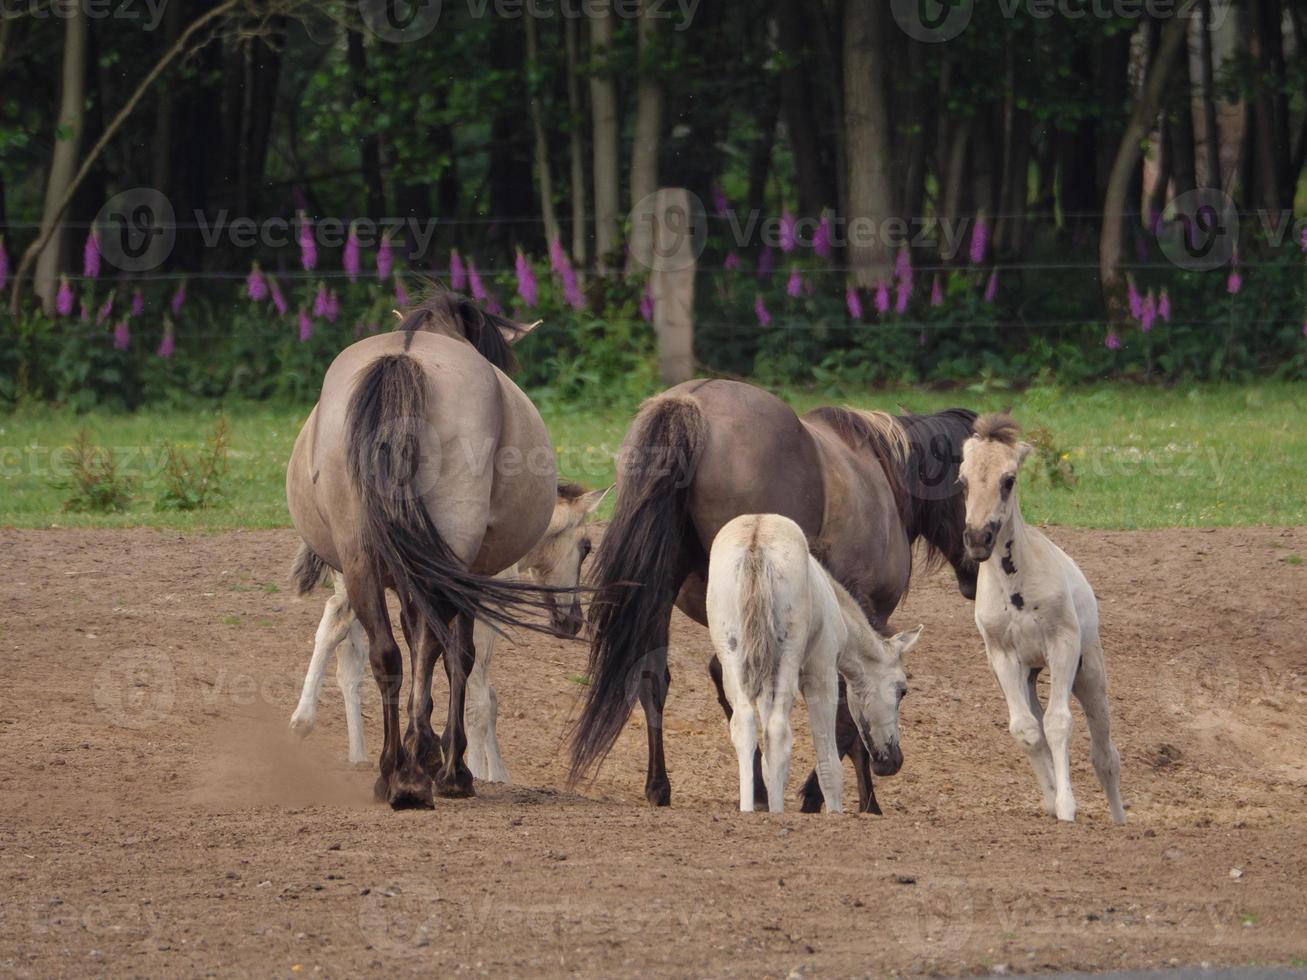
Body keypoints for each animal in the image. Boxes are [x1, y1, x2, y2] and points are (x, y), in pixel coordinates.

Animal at [288, 291, 564, 815]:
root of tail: (403, 359)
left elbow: (413, 643)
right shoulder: (468, 574)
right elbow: (459, 656)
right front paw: (452, 764)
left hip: (360, 562)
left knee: (387, 656)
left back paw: (395, 772)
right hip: (447, 560)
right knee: (436, 648)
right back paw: (421, 771)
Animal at [705, 514, 920, 815]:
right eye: (902, 690)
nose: (893, 761)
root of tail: (755, 543)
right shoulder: (821, 673)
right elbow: (828, 763)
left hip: (735, 660)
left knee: (745, 726)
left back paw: (750, 809)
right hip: (789, 659)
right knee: (778, 732)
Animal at [956, 415, 1129, 831]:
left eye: (1009, 479)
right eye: (963, 481)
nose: (978, 538)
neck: (1016, 585)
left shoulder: (1062, 645)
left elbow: (1058, 723)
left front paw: (1067, 807)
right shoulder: (1003, 657)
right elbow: (1027, 730)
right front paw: (1052, 801)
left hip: (1089, 673)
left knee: (1105, 755)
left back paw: (1119, 820)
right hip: (1030, 675)